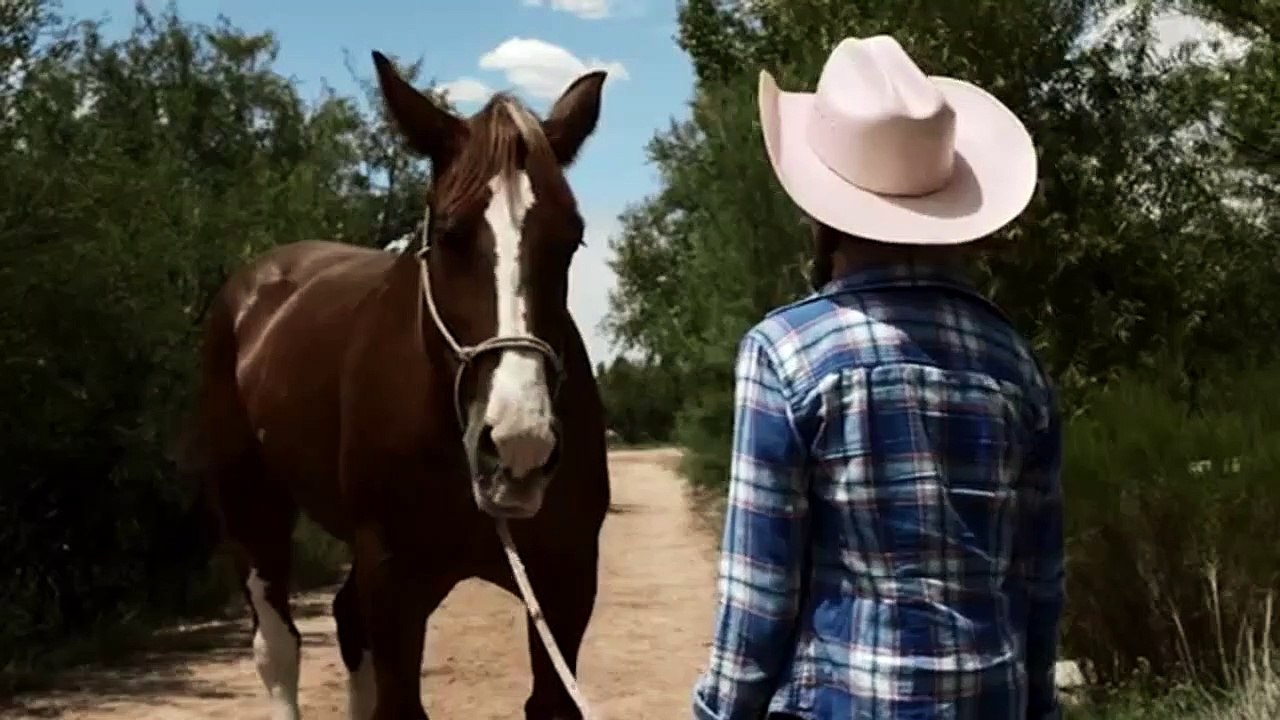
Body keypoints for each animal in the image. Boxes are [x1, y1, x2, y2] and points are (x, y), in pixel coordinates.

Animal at [178, 50, 611, 720]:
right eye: (452, 234)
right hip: (253, 508)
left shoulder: (564, 583)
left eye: (571, 238)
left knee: (346, 621)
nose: (518, 444)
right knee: (278, 647)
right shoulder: (393, 576)